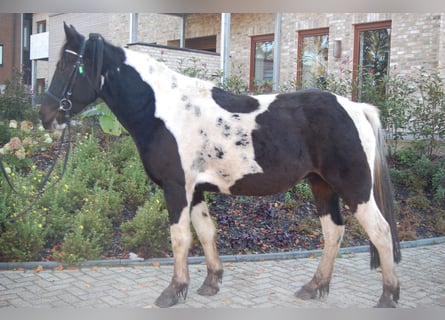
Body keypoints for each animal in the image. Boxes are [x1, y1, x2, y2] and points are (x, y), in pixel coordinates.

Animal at [38, 23, 400, 308]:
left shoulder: (176, 188)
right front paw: (210, 283)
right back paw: (314, 287)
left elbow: (180, 238)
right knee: (333, 232)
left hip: (354, 188)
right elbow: (206, 233)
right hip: (321, 184)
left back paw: (388, 295)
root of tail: (356, 107)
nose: (46, 117)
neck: (163, 110)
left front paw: (173, 291)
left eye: (67, 63)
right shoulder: (196, 190)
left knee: (380, 232)